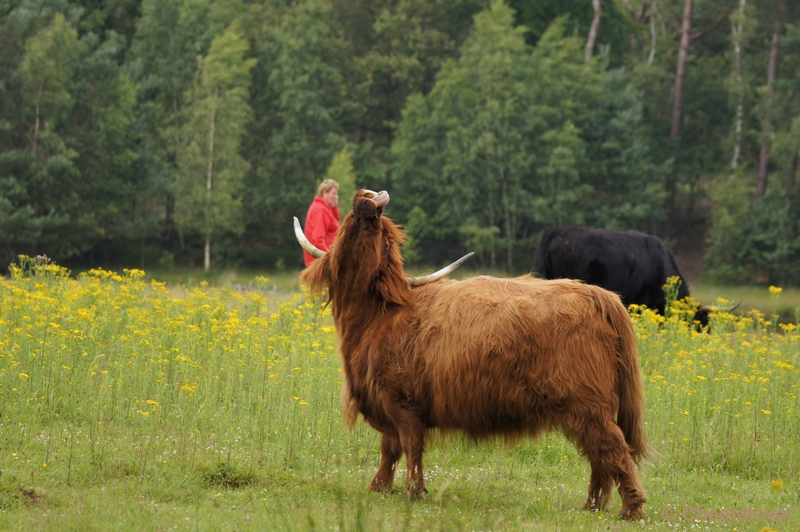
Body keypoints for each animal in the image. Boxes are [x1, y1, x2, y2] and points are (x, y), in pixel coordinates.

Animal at [294, 189, 648, 516]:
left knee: (613, 450)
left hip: (588, 404)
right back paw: (591, 507)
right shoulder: (389, 402)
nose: (371, 199)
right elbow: (389, 448)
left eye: (383, 235)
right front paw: (379, 488)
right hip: (589, 409)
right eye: (351, 219)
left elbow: (408, 446)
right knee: (599, 455)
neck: (376, 315)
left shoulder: (402, 402)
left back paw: (630, 508)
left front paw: (413, 491)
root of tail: (599, 296)